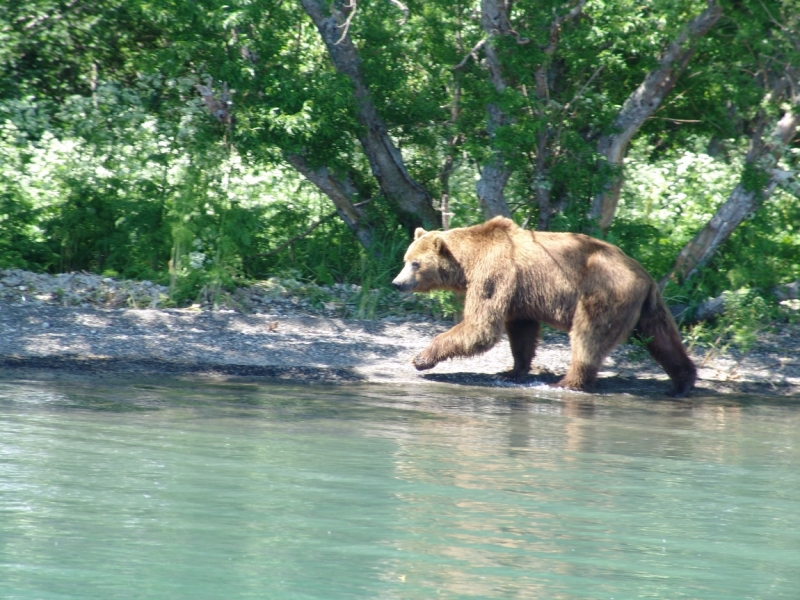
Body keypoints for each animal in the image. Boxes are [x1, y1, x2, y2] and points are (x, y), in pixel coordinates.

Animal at [392, 218, 692, 396]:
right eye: (406, 259)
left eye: (415, 263)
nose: (397, 283)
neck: (468, 262)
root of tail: (646, 276)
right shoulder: (518, 293)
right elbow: (521, 331)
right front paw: (510, 372)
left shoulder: (494, 274)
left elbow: (480, 327)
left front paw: (421, 358)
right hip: (650, 307)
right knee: (663, 339)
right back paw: (683, 381)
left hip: (604, 291)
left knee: (589, 336)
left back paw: (565, 382)